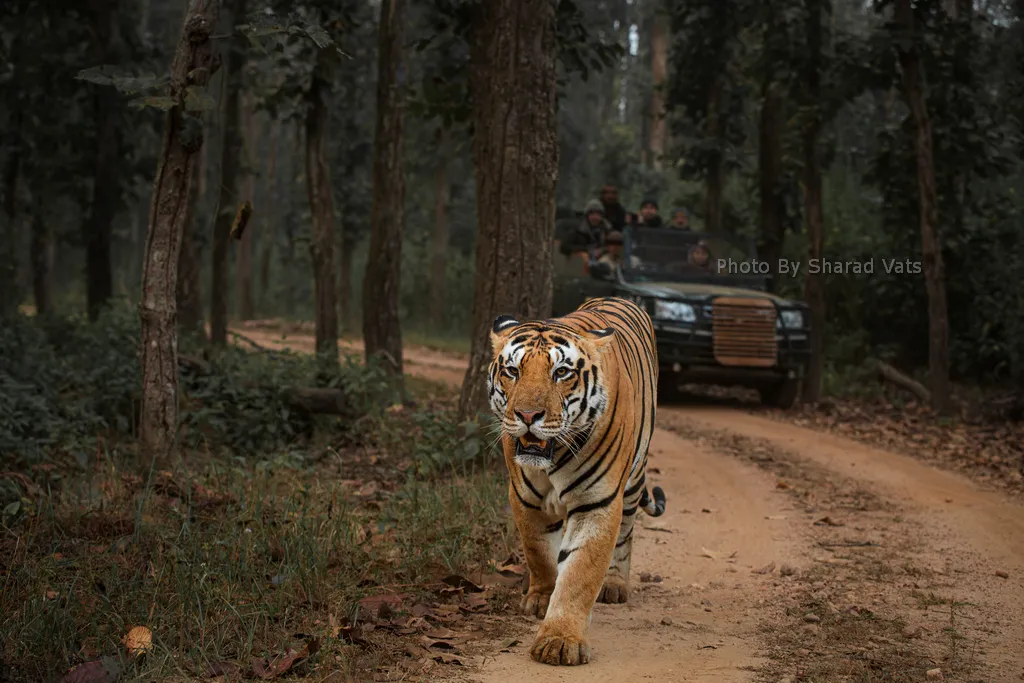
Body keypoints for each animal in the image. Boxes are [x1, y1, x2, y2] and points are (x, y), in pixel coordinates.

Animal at [485, 296, 663, 663]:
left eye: (561, 373)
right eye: (513, 371)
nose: (527, 415)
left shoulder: (597, 503)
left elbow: (580, 571)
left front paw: (560, 639)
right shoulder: (524, 497)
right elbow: (538, 552)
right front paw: (540, 598)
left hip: (633, 481)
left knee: (626, 532)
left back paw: (615, 585)